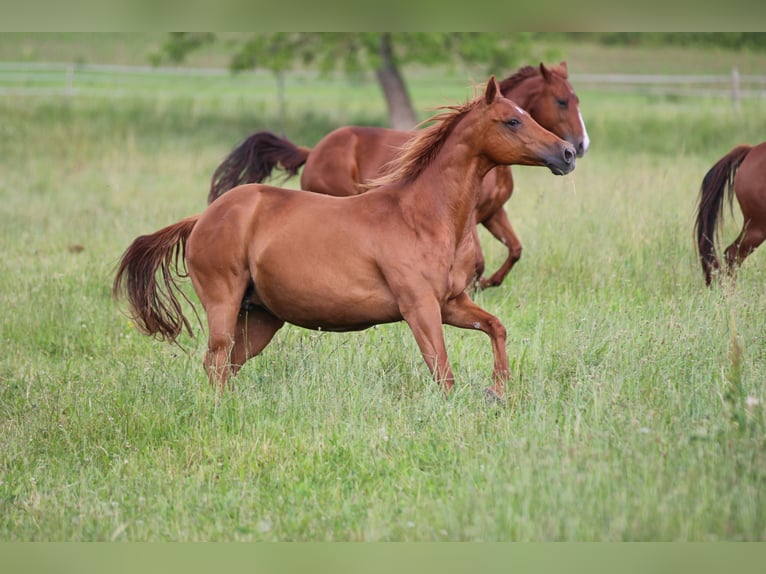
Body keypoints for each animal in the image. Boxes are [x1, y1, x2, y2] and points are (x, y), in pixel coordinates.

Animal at [208, 62, 589, 289]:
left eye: (576, 99)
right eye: (561, 101)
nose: (574, 149)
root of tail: (312, 151)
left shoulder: (493, 213)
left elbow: (514, 250)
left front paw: (485, 285)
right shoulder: (474, 218)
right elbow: (480, 262)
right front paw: (473, 287)